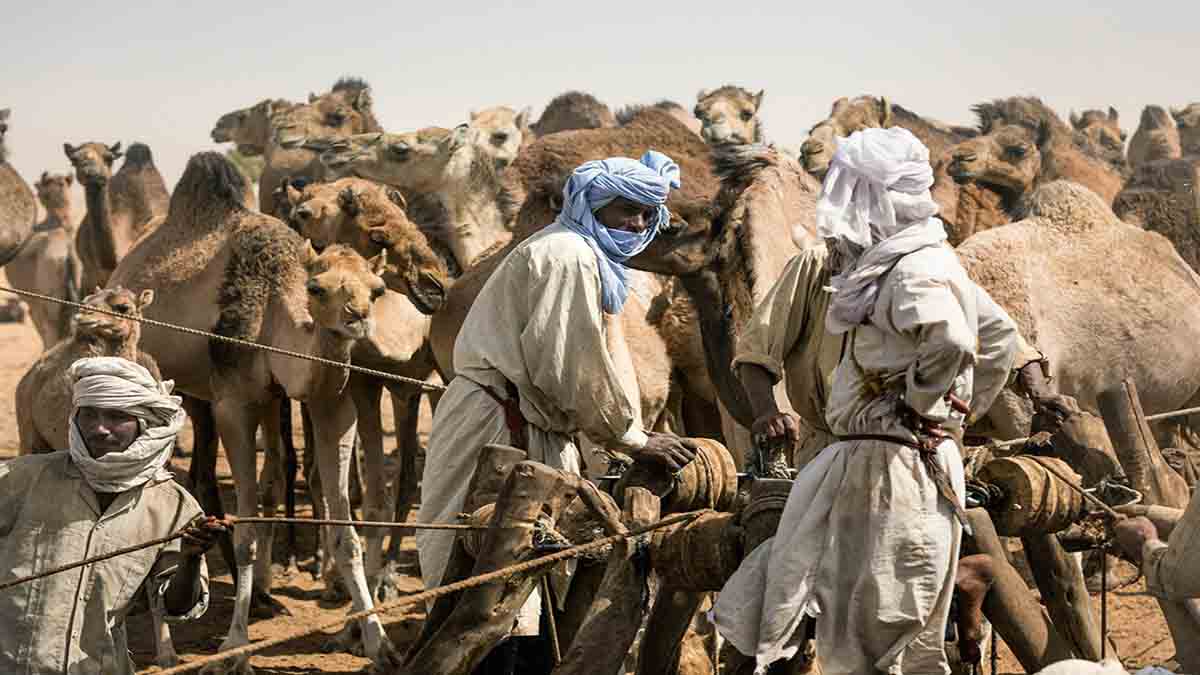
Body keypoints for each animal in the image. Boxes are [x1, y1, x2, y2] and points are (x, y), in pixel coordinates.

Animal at [105, 154, 403, 667]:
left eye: (378, 288)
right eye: (318, 288)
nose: (357, 319)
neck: (272, 299)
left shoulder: (330, 404)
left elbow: (346, 533)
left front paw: (377, 641)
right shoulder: (233, 403)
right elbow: (244, 532)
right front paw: (234, 646)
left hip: (249, 400)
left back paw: (262, 591)